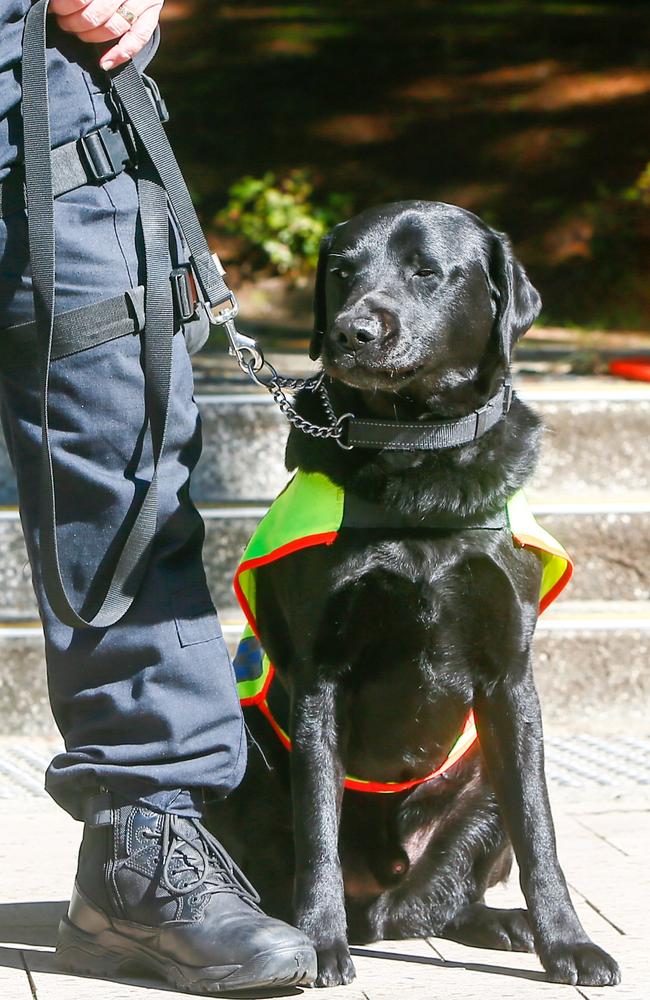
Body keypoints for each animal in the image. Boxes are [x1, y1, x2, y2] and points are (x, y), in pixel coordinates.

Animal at [210, 203, 620, 992]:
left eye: (427, 272)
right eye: (342, 272)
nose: (351, 332)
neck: (417, 452)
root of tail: (384, 905)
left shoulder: (511, 680)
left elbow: (541, 833)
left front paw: (569, 943)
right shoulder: (320, 680)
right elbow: (318, 830)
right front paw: (320, 943)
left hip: (484, 770)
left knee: (452, 894)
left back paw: (506, 923)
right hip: (243, 759)